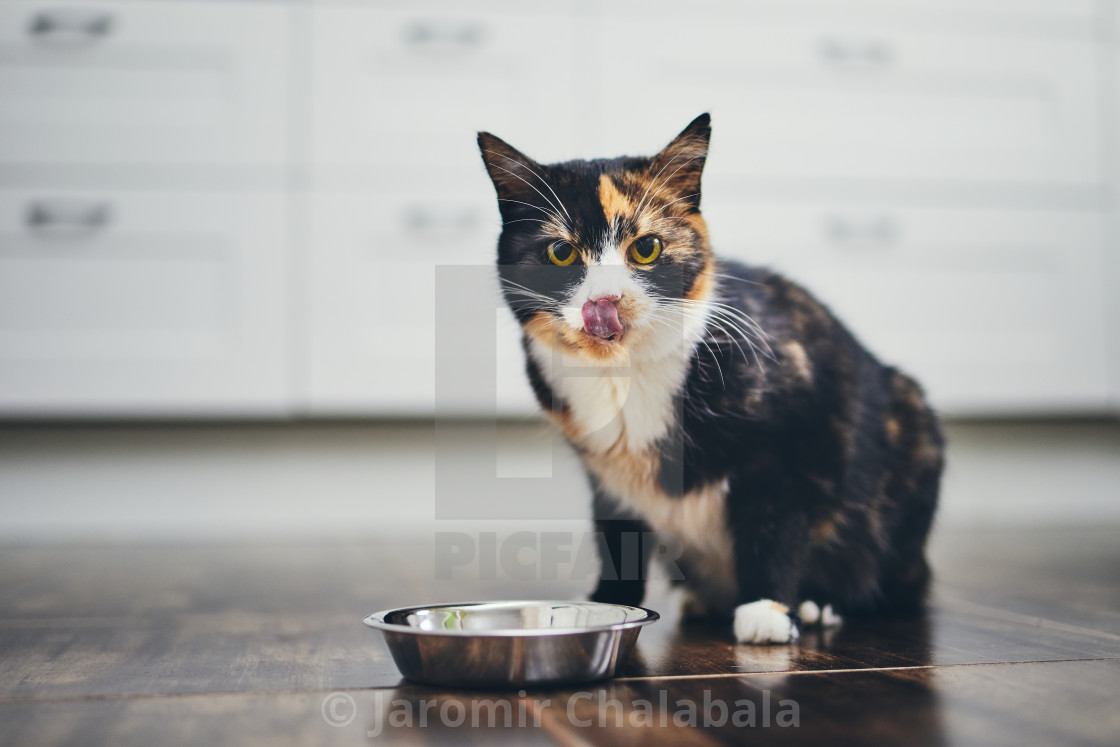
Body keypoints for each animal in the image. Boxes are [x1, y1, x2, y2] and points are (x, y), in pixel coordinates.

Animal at [477, 114, 940, 645]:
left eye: (647, 247)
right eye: (560, 252)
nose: (605, 300)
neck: (624, 373)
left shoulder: (790, 436)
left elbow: (774, 522)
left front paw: (767, 610)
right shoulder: (607, 475)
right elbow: (617, 534)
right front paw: (607, 603)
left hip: (910, 427)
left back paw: (820, 603)